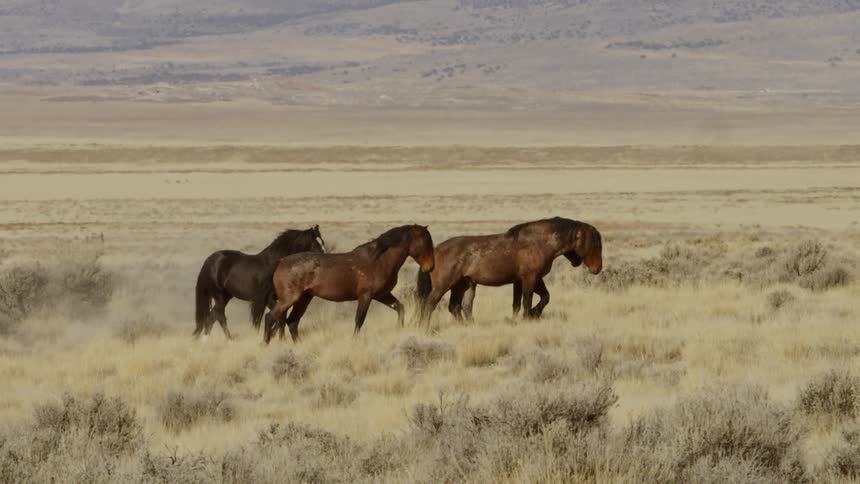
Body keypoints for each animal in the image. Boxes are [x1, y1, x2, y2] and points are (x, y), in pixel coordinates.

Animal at [193, 225, 326, 339]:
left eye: (322, 242)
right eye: (315, 243)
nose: (325, 259)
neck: (275, 265)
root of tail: (210, 260)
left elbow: (281, 316)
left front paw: (276, 336)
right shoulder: (269, 298)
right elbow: (278, 317)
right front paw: (277, 338)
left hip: (226, 296)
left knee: (212, 317)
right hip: (219, 295)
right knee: (220, 317)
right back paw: (229, 339)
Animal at [258, 224, 434, 344]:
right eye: (425, 242)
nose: (430, 267)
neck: (379, 260)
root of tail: (280, 262)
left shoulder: (382, 295)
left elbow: (400, 308)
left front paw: (399, 329)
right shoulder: (366, 296)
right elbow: (359, 320)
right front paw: (354, 341)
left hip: (303, 299)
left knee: (292, 322)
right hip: (289, 299)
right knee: (271, 318)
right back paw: (265, 345)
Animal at [416, 217, 602, 323]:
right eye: (594, 244)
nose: (598, 268)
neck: (539, 242)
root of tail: (434, 251)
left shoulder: (525, 280)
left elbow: (531, 301)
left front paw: (529, 316)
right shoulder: (529, 278)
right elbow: (527, 302)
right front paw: (529, 317)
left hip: (463, 285)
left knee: (458, 307)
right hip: (443, 286)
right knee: (429, 305)